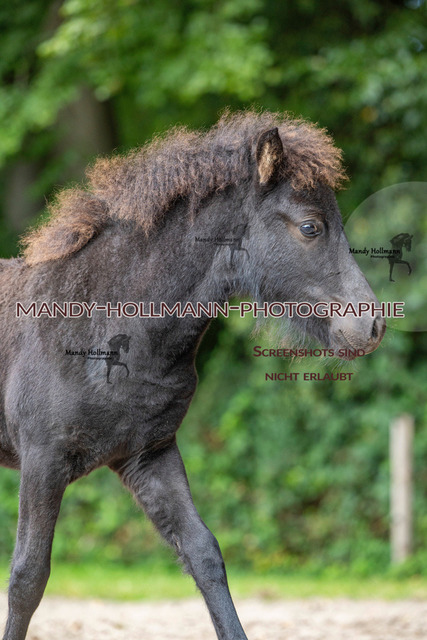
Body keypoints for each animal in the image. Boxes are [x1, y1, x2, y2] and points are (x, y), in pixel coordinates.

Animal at [0, 111, 386, 640]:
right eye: (311, 226)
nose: (371, 326)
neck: (100, 324)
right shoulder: (43, 459)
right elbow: (28, 577)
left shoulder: (150, 456)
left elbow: (204, 554)